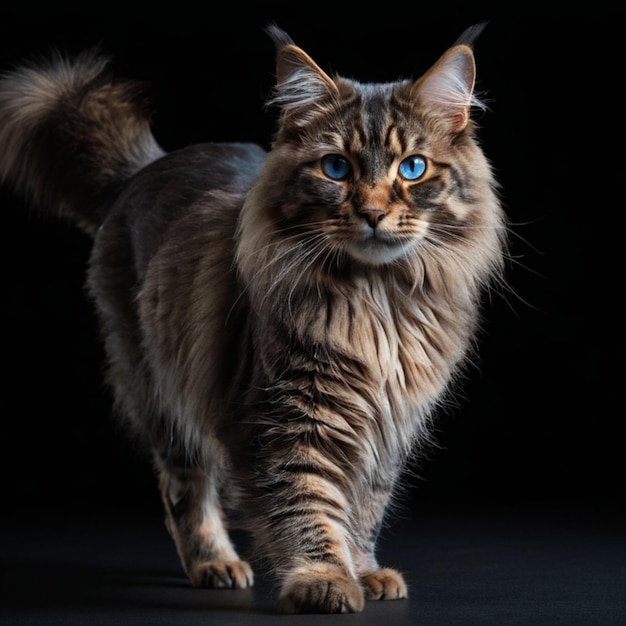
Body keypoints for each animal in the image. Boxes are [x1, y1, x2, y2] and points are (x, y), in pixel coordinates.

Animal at [0, 23, 504, 608]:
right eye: (337, 168)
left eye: (413, 168)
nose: (374, 214)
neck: (377, 302)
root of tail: (143, 171)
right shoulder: (287, 415)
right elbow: (308, 504)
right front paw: (323, 579)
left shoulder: (389, 422)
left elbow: (363, 507)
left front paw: (363, 569)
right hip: (162, 390)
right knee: (184, 487)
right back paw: (214, 563)